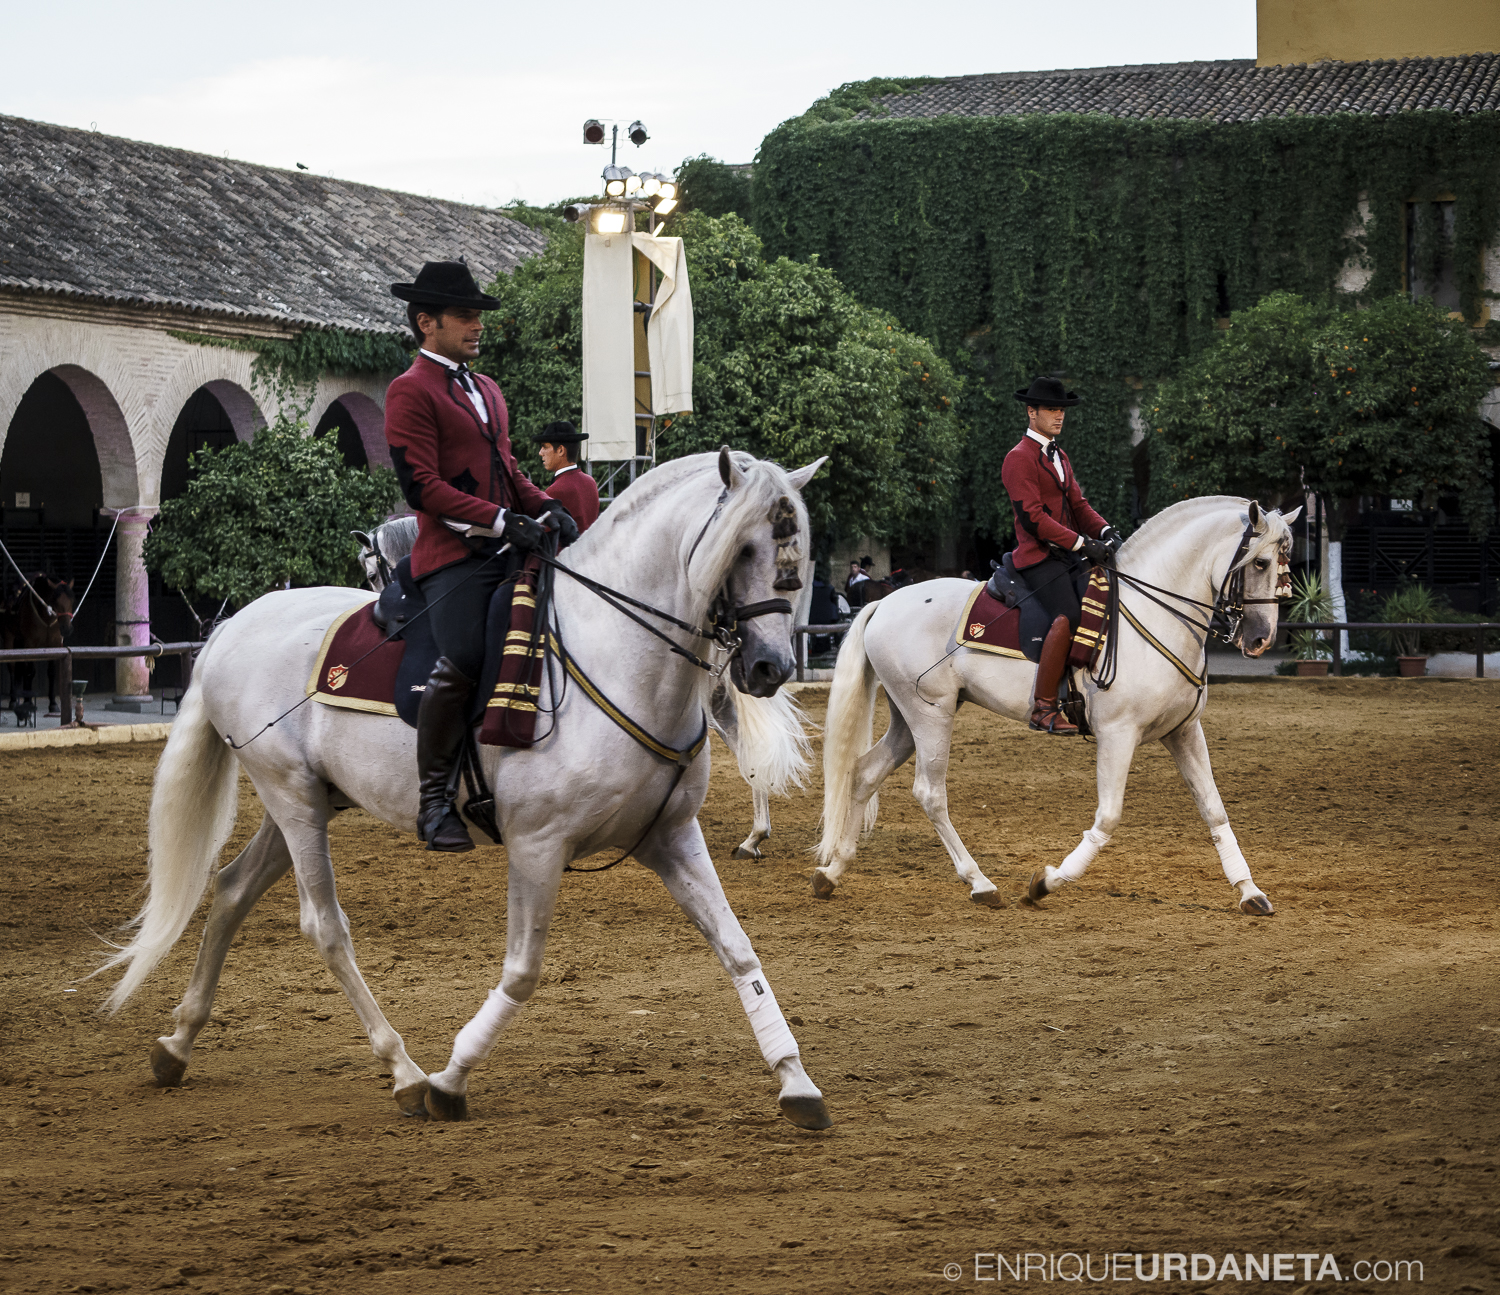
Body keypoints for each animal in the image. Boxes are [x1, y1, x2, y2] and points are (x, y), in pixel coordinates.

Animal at [816, 495, 1296, 912]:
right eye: (1260, 562)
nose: (1261, 639)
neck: (1157, 613)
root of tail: (884, 602)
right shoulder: (1118, 735)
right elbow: (1108, 818)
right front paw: (1046, 882)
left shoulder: (1183, 731)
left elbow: (1214, 808)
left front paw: (1249, 891)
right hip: (931, 716)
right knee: (929, 793)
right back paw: (980, 882)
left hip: (909, 718)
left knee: (865, 772)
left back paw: (833, 871)